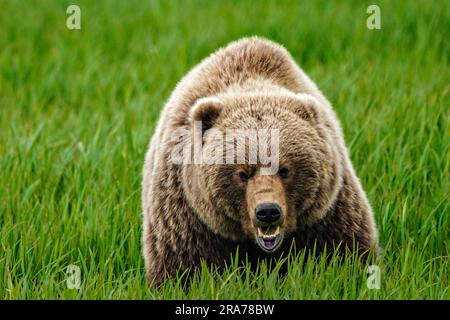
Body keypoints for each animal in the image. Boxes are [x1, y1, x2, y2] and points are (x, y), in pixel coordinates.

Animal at [142, 35, 380, 284]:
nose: (267, 211)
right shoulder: (188, 216)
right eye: (242, 173)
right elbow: (184, 267)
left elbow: (347, 252)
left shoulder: (327, 211)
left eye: (285, 169)